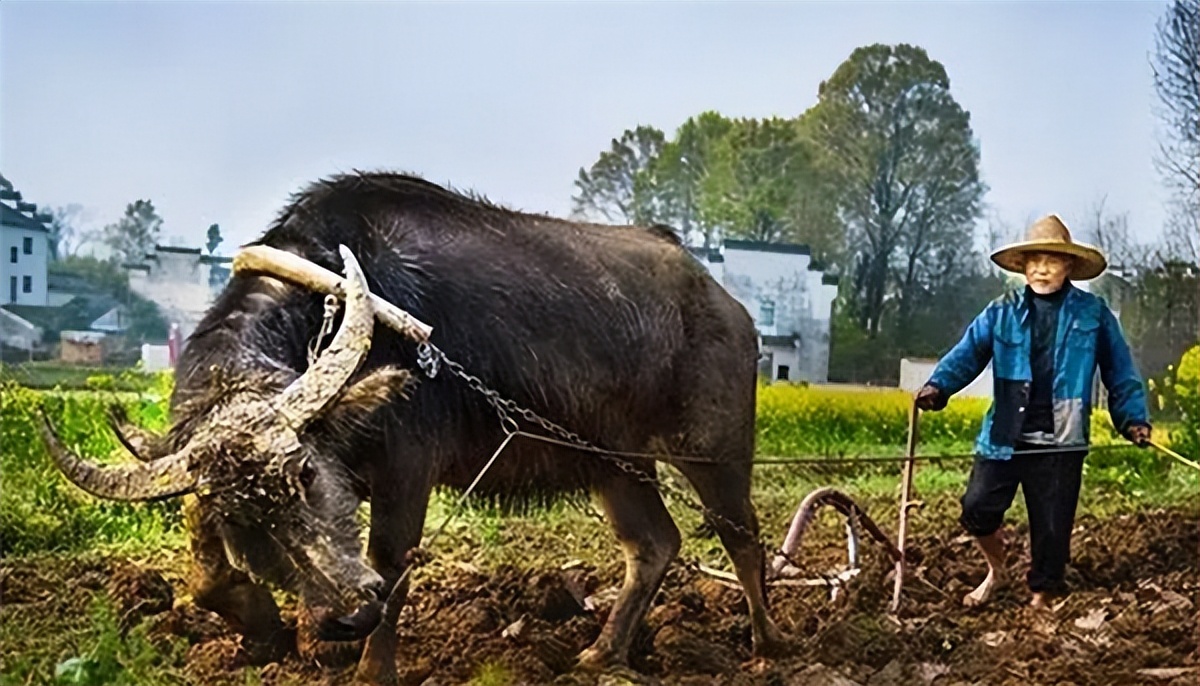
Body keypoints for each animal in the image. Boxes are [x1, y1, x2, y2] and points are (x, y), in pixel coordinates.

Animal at [39, 172, 787, 681]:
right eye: (241, 521)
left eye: (306, 473)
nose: (344, 614)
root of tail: (727, 304)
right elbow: (205, 570)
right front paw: (267, 631)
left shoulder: (408, 466)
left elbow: (391, 561)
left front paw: (372, 668)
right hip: (612, 460)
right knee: (654, 545)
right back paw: (600, 652)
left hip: (714, 451)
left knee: (743, 538)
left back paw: (766, 645)